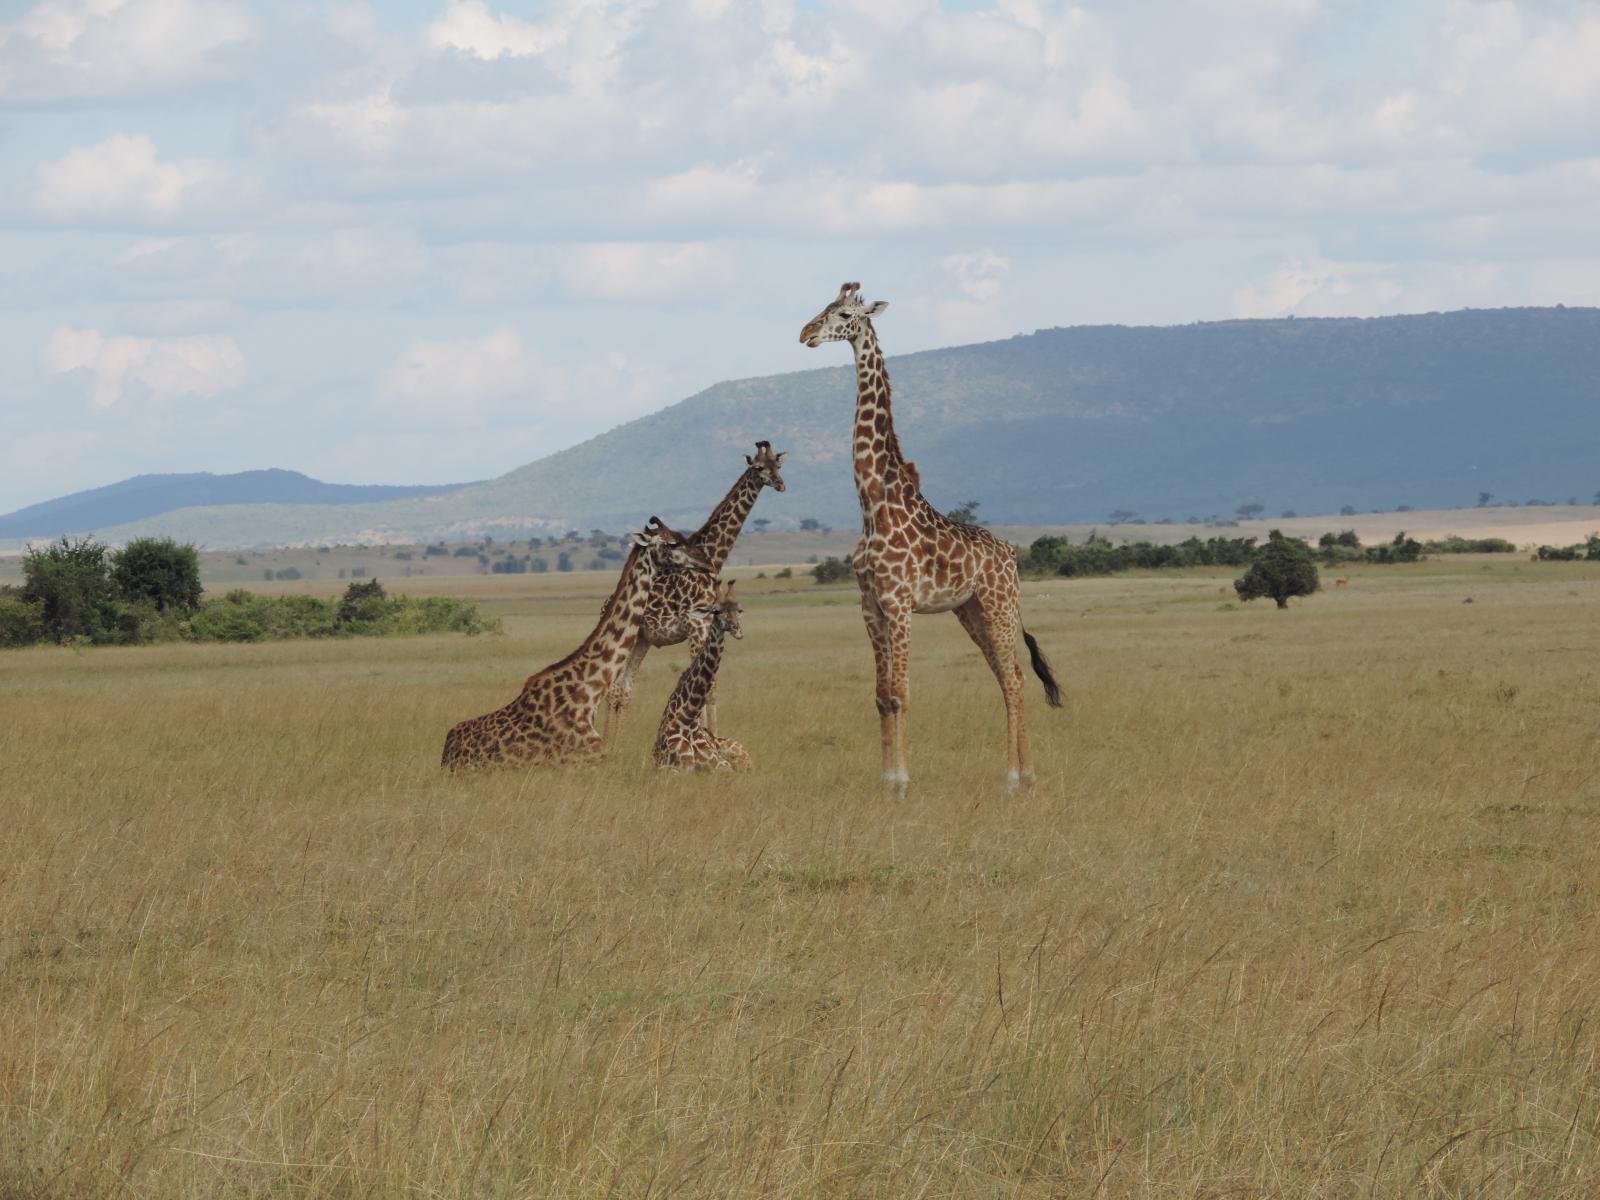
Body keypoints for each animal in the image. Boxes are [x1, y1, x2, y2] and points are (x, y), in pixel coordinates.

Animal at [601, 441, 787, 742]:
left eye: (778, 466)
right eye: (759, 467)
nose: (781, 484)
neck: (713, 555)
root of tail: (605, 605)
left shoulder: (707, 625)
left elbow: (710, 686)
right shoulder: (696, 624)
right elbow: (705, 686)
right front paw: (700, 736)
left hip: (642, 641)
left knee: (624, 690)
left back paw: (615, 744)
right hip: (628, 640)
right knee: (614, 688)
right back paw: (607, 745)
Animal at [649, 588, 748, 774]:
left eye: (739, 610)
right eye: (716, 610)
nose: (735, 628)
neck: (687, 719)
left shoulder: (722, 766)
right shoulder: (667, 768)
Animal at [800, 281, 1062, 790]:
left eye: (843, 314)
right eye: (823, 307)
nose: (805, 334)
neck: (873, 507)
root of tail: (1012, 555)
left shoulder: (900, 605)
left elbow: (901, 692)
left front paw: (902, 781)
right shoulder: (870, 605)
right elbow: (881, 695)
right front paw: (886, 780)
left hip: (999, 606)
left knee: (1016, 678)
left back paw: (1015, 777)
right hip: (970, 611)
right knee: (1008, 676)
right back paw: (1025, 775)